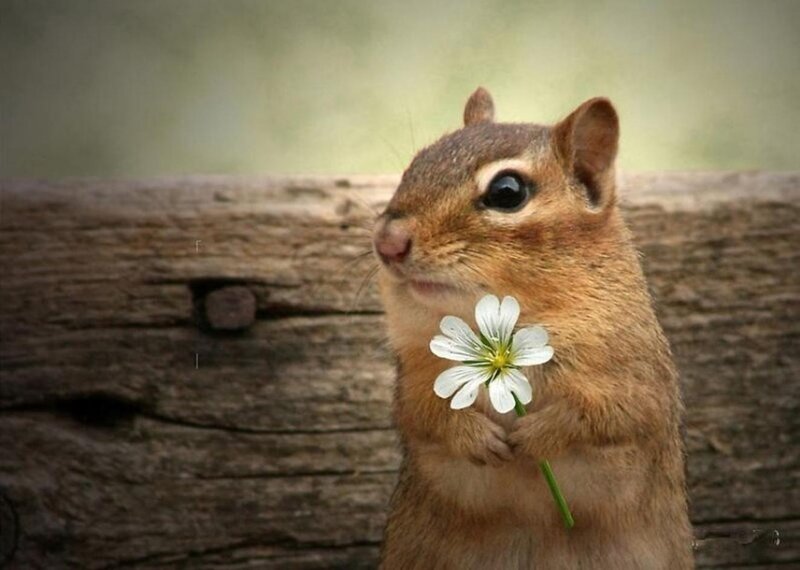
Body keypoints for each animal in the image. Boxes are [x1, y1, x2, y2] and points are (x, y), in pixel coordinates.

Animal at [372, 88, 693, 569]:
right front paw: (475, 436)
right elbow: (422, 415)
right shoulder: (413, 380)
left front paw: (535, 435)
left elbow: (606, 418)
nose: (386, 242)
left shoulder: (639, 388)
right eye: (416, 162)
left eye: (507, 192)